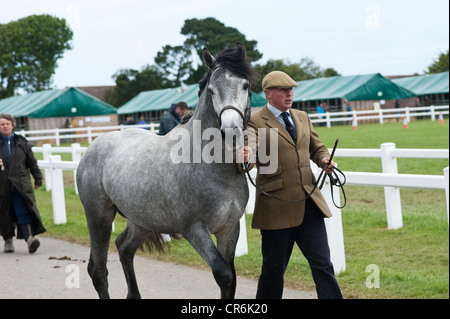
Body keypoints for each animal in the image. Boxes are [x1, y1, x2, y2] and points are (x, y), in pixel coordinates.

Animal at [75, 43, 255, 300]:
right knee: (98, 270)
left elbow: (231, 281)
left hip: (141, 220)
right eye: (211, 91)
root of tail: (91, 148)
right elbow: (224, 274)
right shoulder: (194, 230)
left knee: (124, 248)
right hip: (98, 218)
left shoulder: (229, 229)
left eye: (245, 85)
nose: (231, 132)